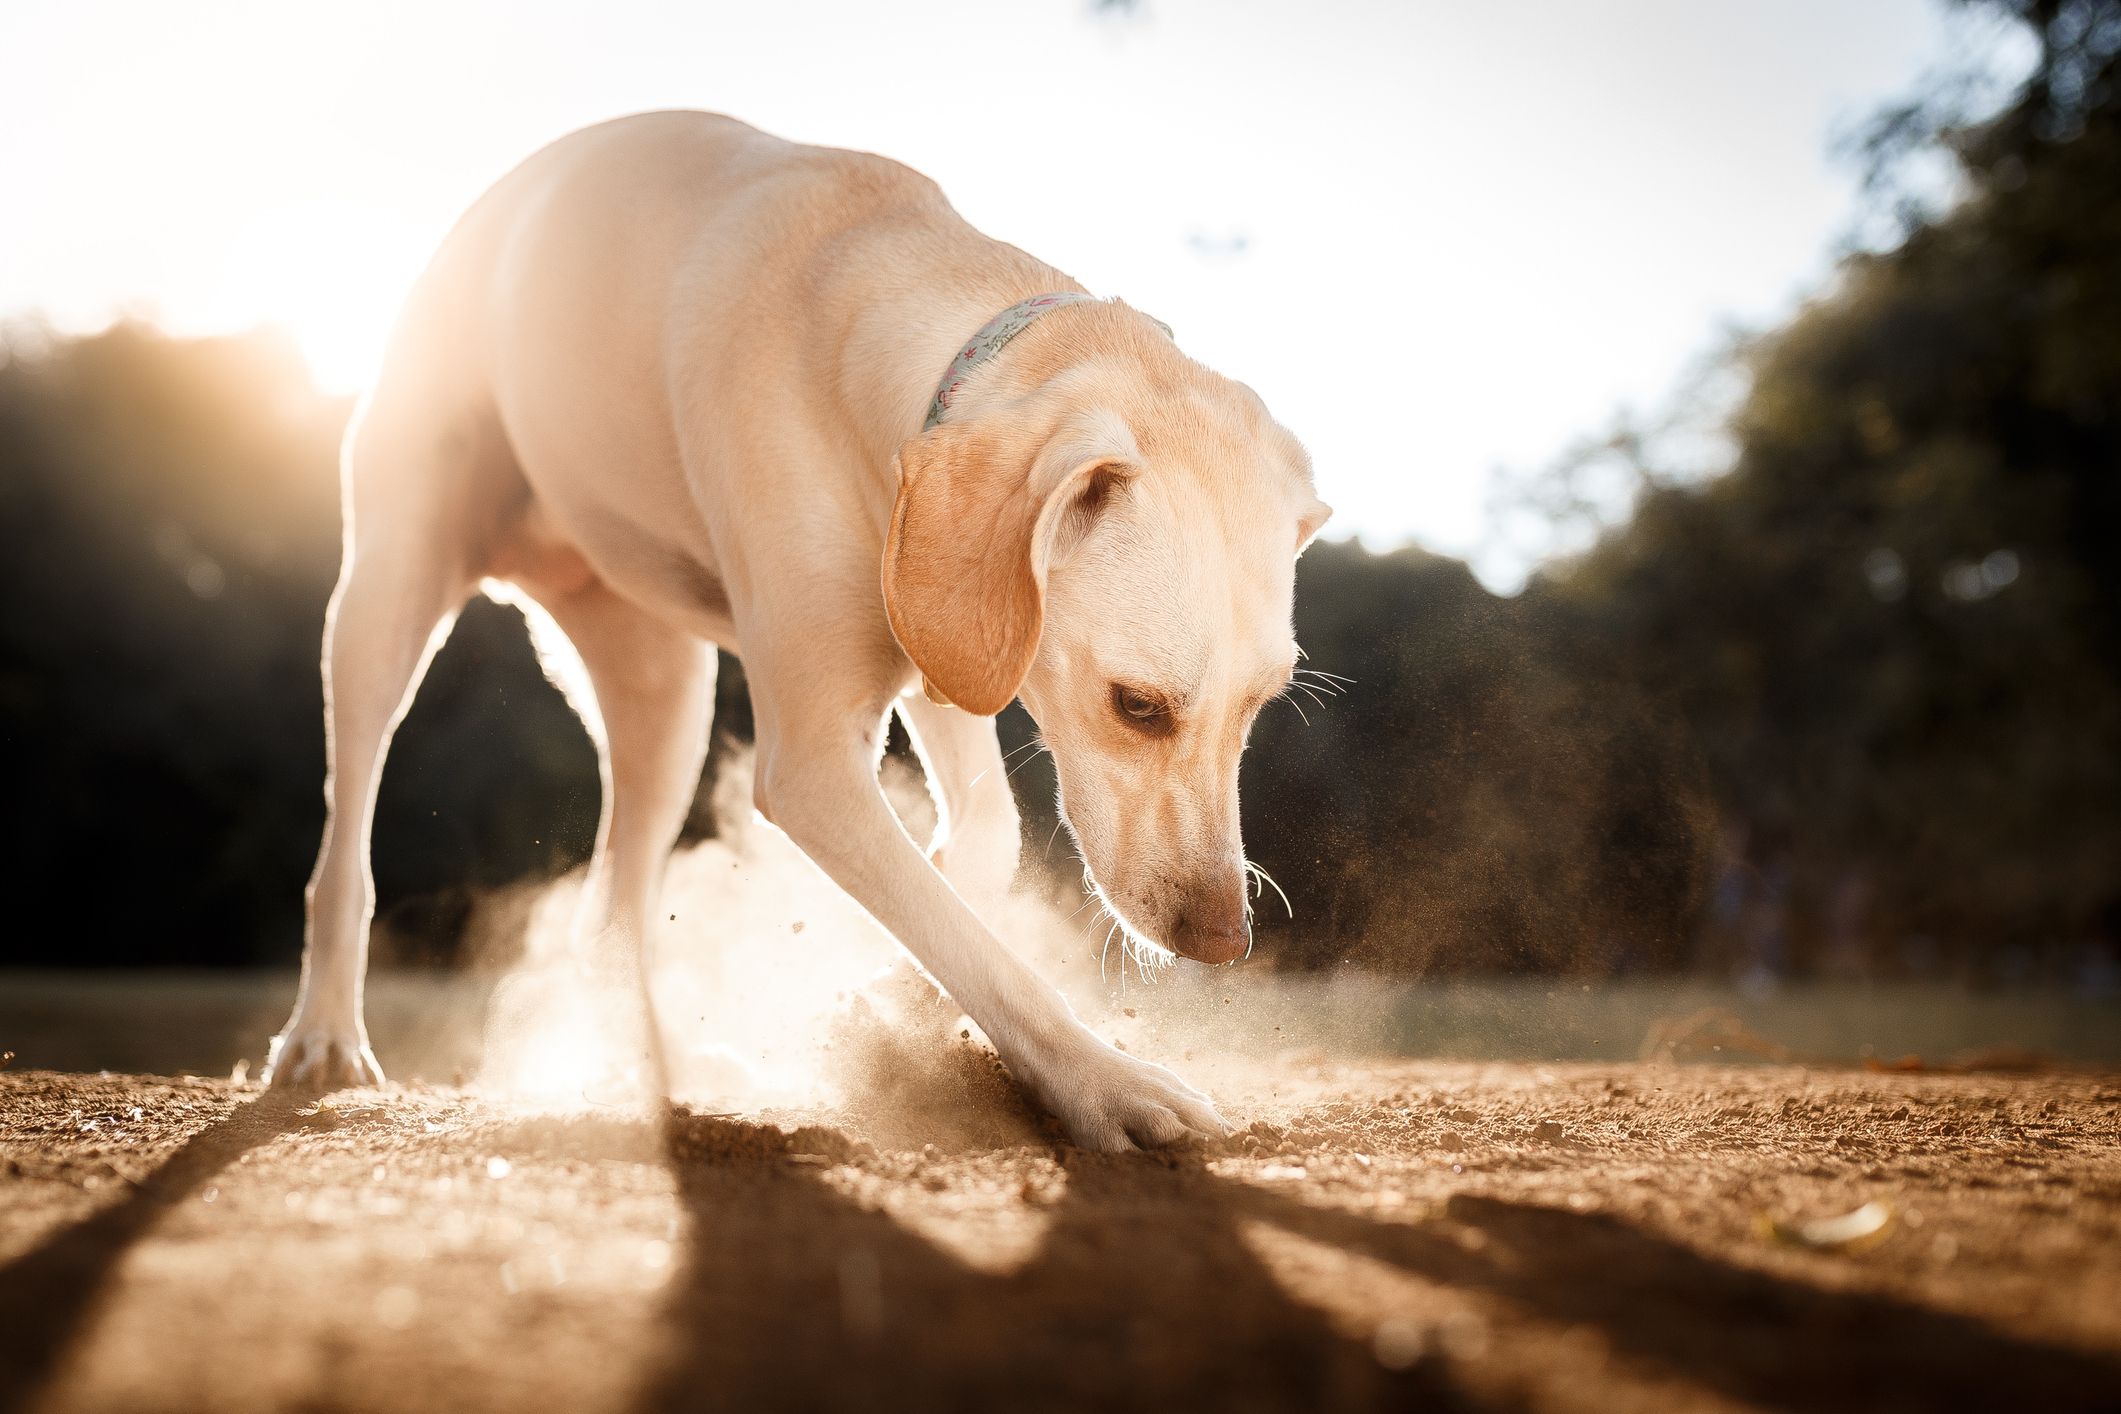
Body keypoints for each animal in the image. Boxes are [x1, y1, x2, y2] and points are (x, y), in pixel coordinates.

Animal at [265, 110, 1323, 1153]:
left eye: (1261, 705)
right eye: (1135, 706)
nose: (1225, 941)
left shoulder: (941, 649)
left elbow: (978, 854)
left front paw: (884, 1003)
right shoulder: (811, 764)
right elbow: (962, 932)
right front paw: (1103, 1083)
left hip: (666, 700)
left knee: (612, 905)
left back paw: (649, 1070)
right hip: (385, 599)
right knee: (346, 845)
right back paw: (324, 1038)